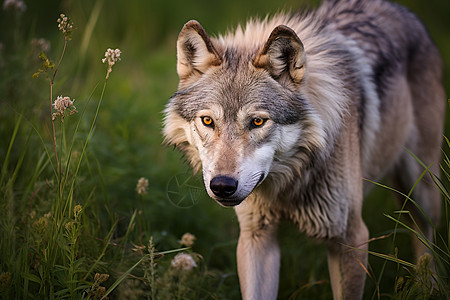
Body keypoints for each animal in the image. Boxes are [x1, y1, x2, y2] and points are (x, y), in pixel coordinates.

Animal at [161, 0, 442, 298]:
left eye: (257, 121)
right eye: (207, 121)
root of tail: (400, 9)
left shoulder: (352, 238)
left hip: (421, 192)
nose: (222, 186)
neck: (288, 183)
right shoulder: (257, 238)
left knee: (425, 237)